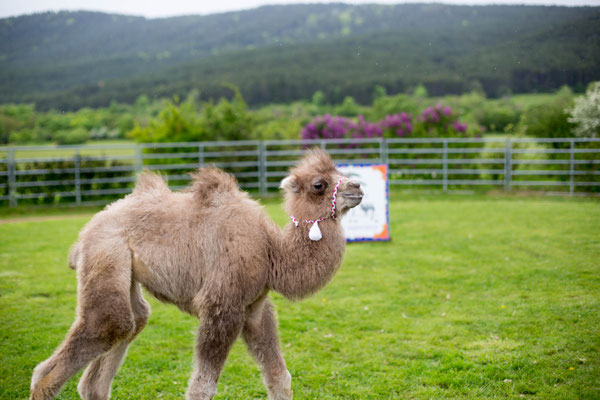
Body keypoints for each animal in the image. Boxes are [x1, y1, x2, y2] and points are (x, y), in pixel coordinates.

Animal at [29, 149, 360, 400]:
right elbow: (202, 387)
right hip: (106, 254)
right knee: (104, 326)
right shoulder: (221, 305)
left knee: (126, 328)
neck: (271, 252)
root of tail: (86, 231)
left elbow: (280, 377)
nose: (357, 186)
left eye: (339, 171)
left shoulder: (255, 308)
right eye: (319, 184)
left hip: (123, 272)